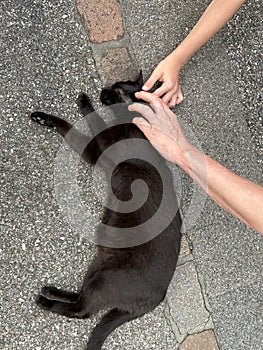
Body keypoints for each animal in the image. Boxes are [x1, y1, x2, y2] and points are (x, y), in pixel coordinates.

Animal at [32, 72, 183, 350]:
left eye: (117, 90)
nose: (104, 90)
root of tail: (159, 297)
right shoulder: (95, 151)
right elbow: (71, 127)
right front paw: (42, 117)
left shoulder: (98, 148)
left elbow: (86, 122)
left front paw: (84, 102)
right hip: (98, 266)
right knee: (81, 298)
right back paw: (51, 292)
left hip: (105, 279)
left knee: (83, 311)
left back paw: (45, 302)